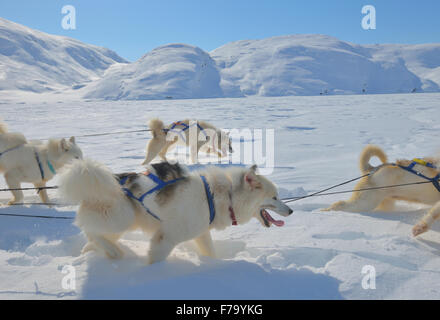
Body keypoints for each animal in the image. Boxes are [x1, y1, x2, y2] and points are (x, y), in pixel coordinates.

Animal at [58, 160, 292, 262]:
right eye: (274, 197)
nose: (290, 211)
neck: (222, 195)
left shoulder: (201, 233)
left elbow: (210, 252)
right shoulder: (166, 237)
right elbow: (157, 256)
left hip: (121, 224)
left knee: (93, 235)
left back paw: (97, 251)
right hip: (122, 219)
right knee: (88, 229)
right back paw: (112, 251)